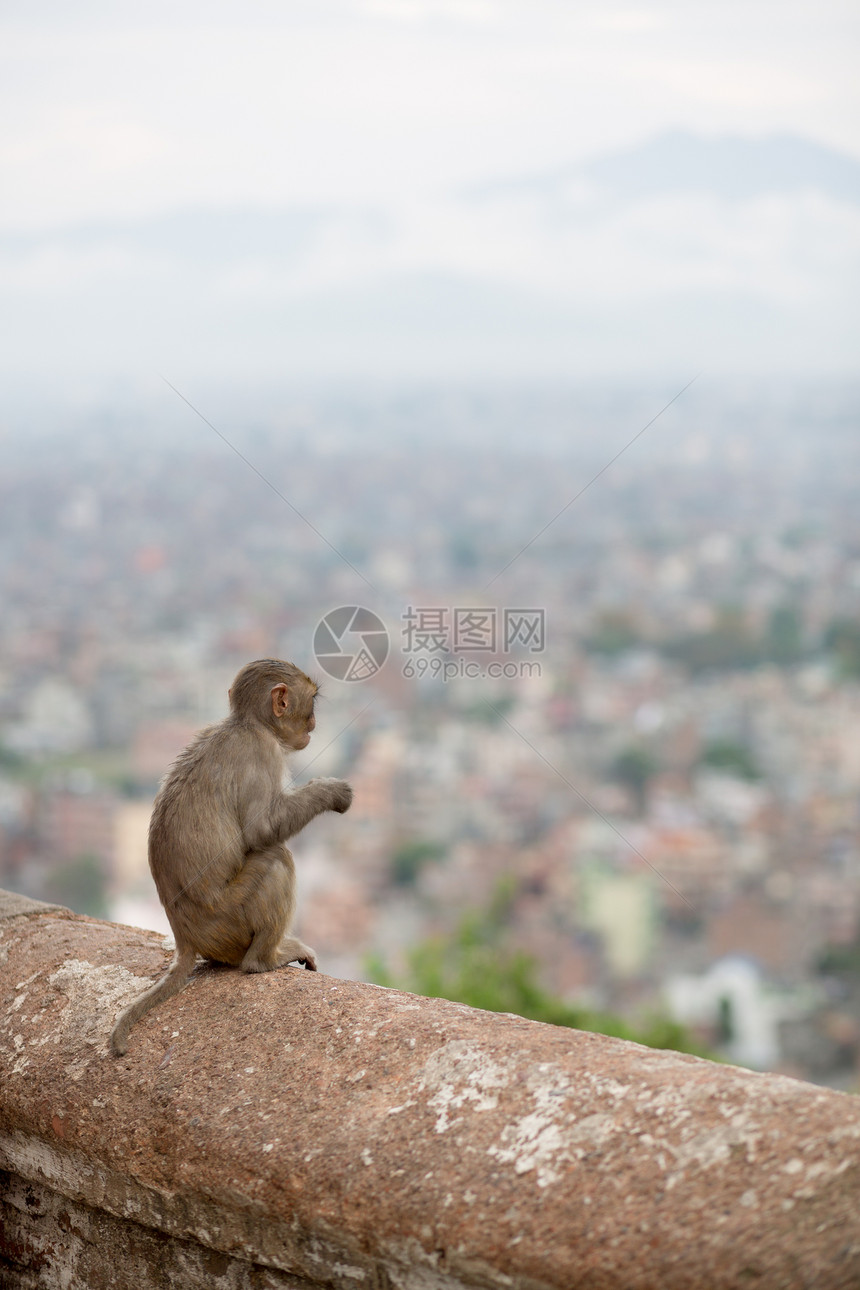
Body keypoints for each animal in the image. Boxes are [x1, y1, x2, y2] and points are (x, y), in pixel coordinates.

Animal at [110, 660, 353, 1052]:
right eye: (311, 702)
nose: (314, 724)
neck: (249, 724)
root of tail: (185, 940)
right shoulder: (263, 753)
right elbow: (263, 830)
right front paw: (331, 791)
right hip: (229, 920)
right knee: (275, 861)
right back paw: (263, 961)